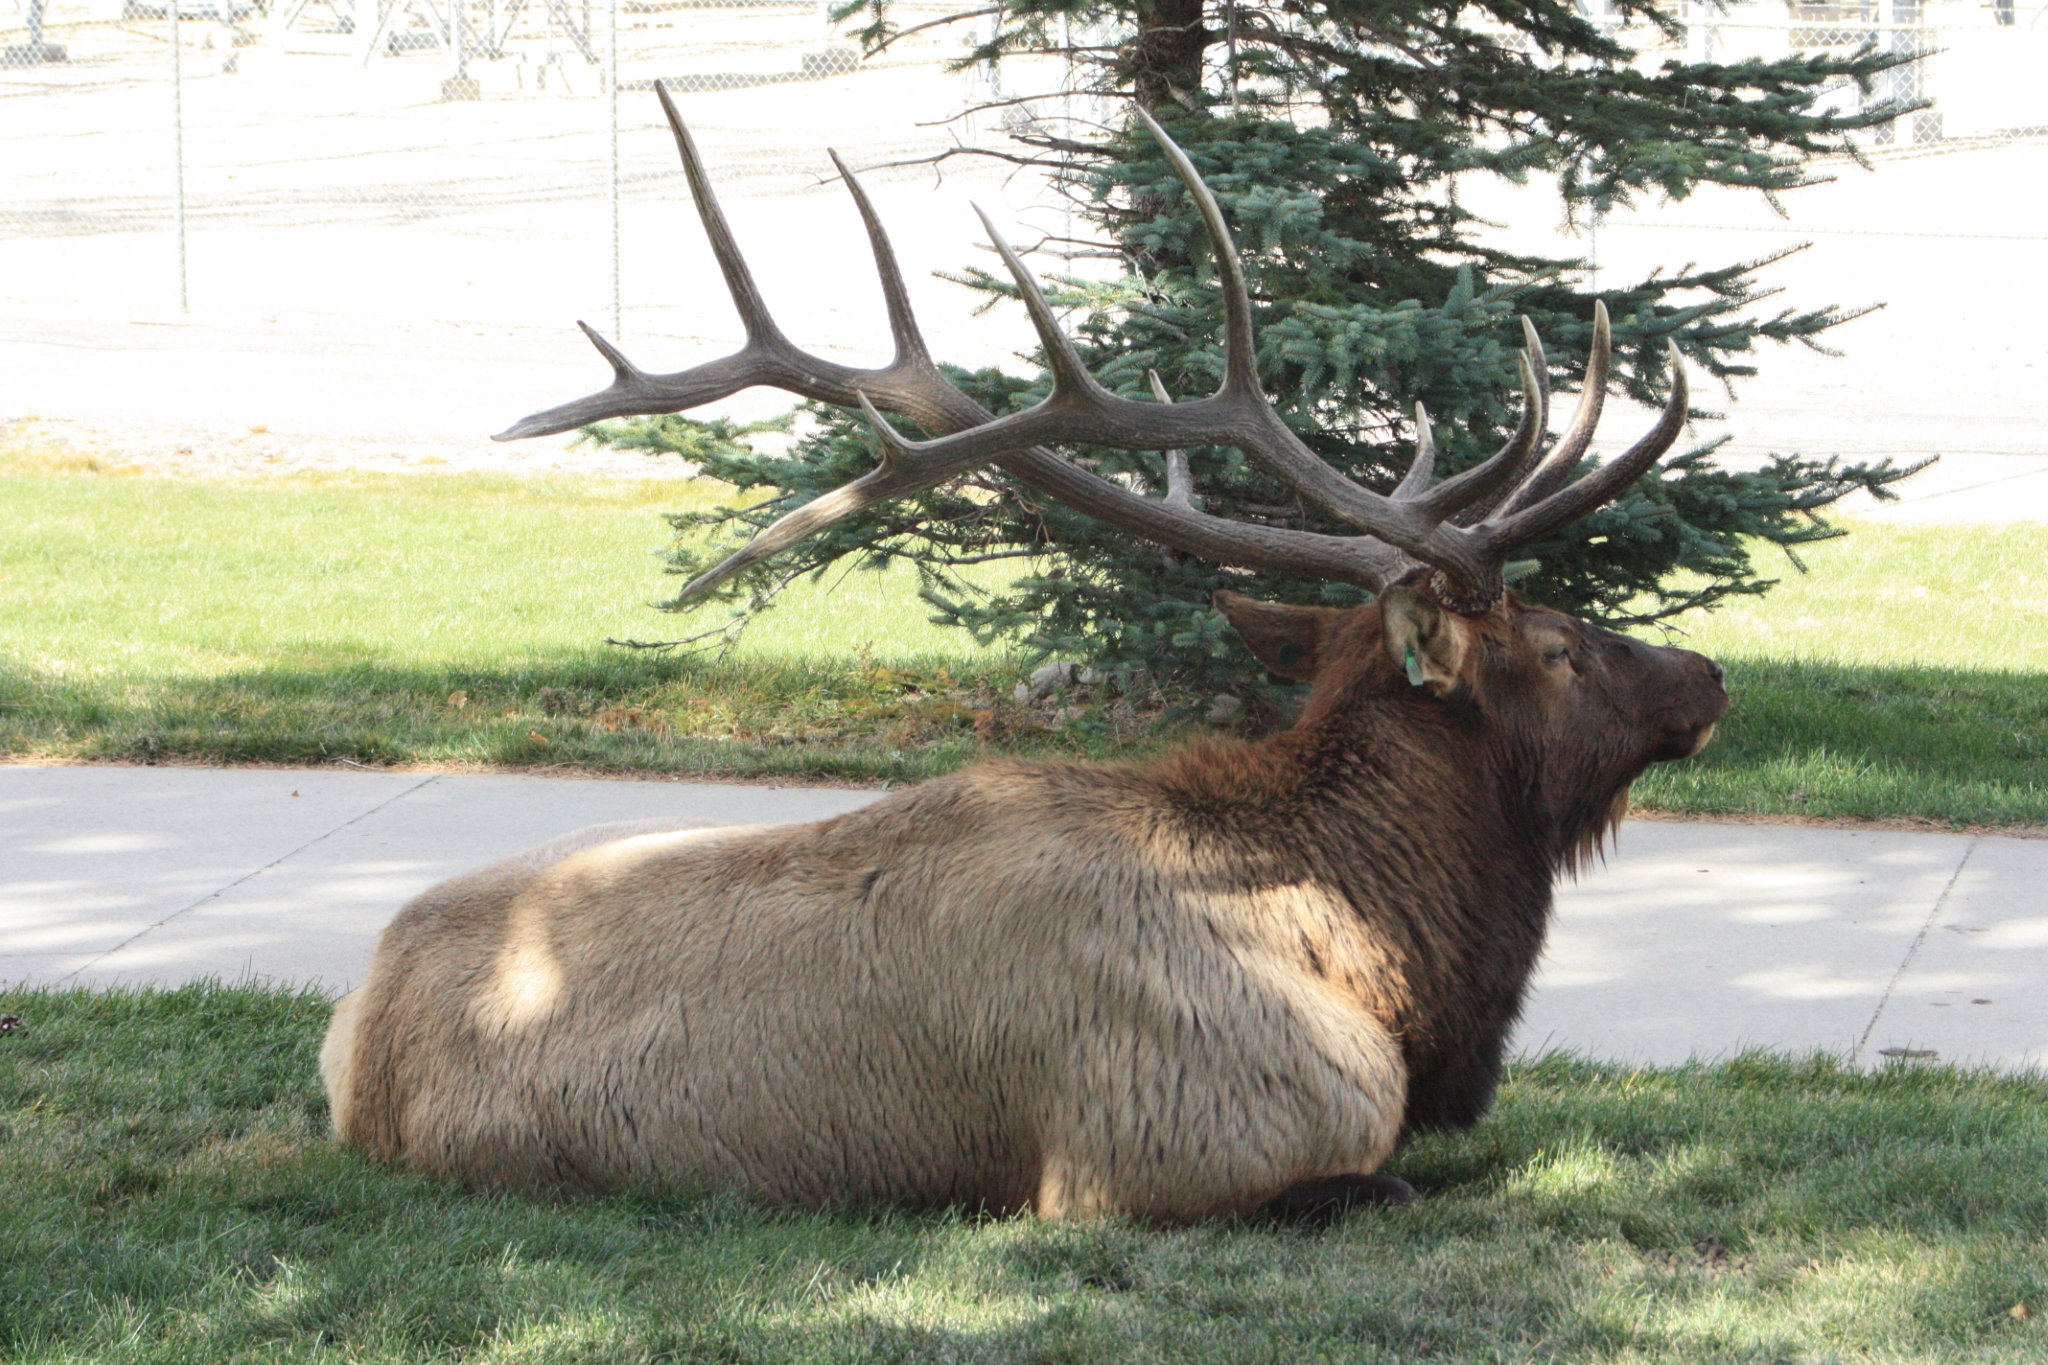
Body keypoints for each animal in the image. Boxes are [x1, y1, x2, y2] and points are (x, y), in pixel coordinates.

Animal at [319, 87, 1728, 1227]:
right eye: (1554, 646)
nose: (1708, 677)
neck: (1386, 965)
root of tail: (354, 1046)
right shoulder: (1169, 1148)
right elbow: (1385, 1183)